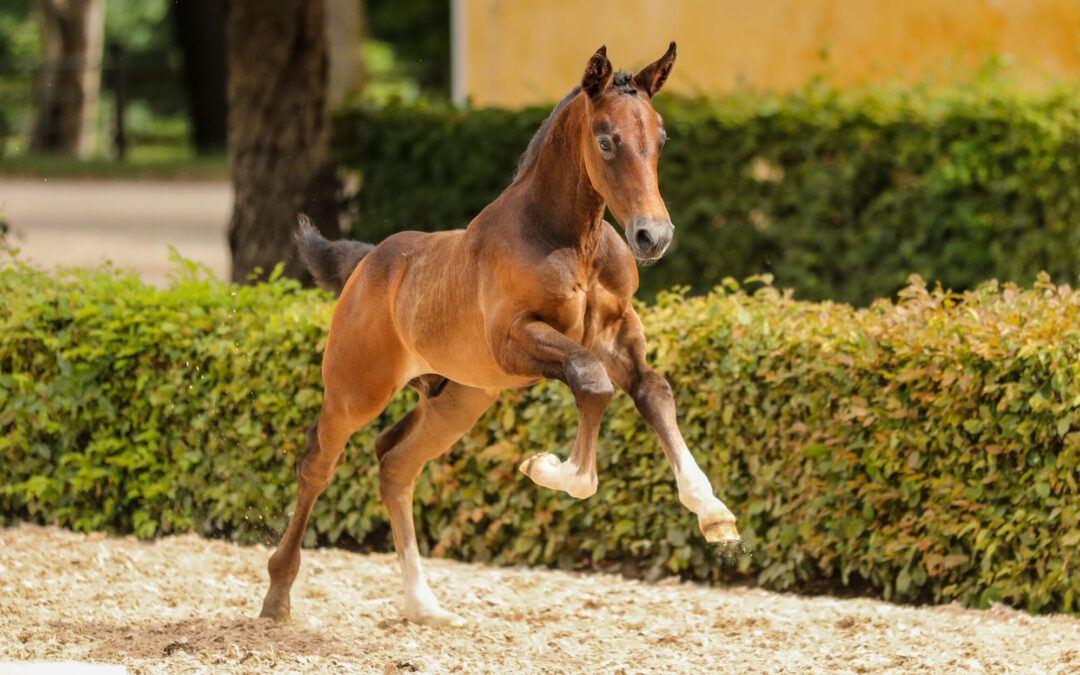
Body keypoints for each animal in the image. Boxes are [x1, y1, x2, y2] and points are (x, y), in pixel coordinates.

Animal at [257, 43, 738, 626]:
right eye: (606, 139)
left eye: (661, 137)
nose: (653, 236)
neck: (571, 241)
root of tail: (368, 263)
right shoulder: (514, 340)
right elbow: (591, 382)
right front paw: (547, 468)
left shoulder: (618, 332)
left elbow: (653, 391)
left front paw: (713, 512)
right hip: (357, 390)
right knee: (319, 463)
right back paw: (278, 596)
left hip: (458, 399)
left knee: (395, 460)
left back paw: (423, 603)